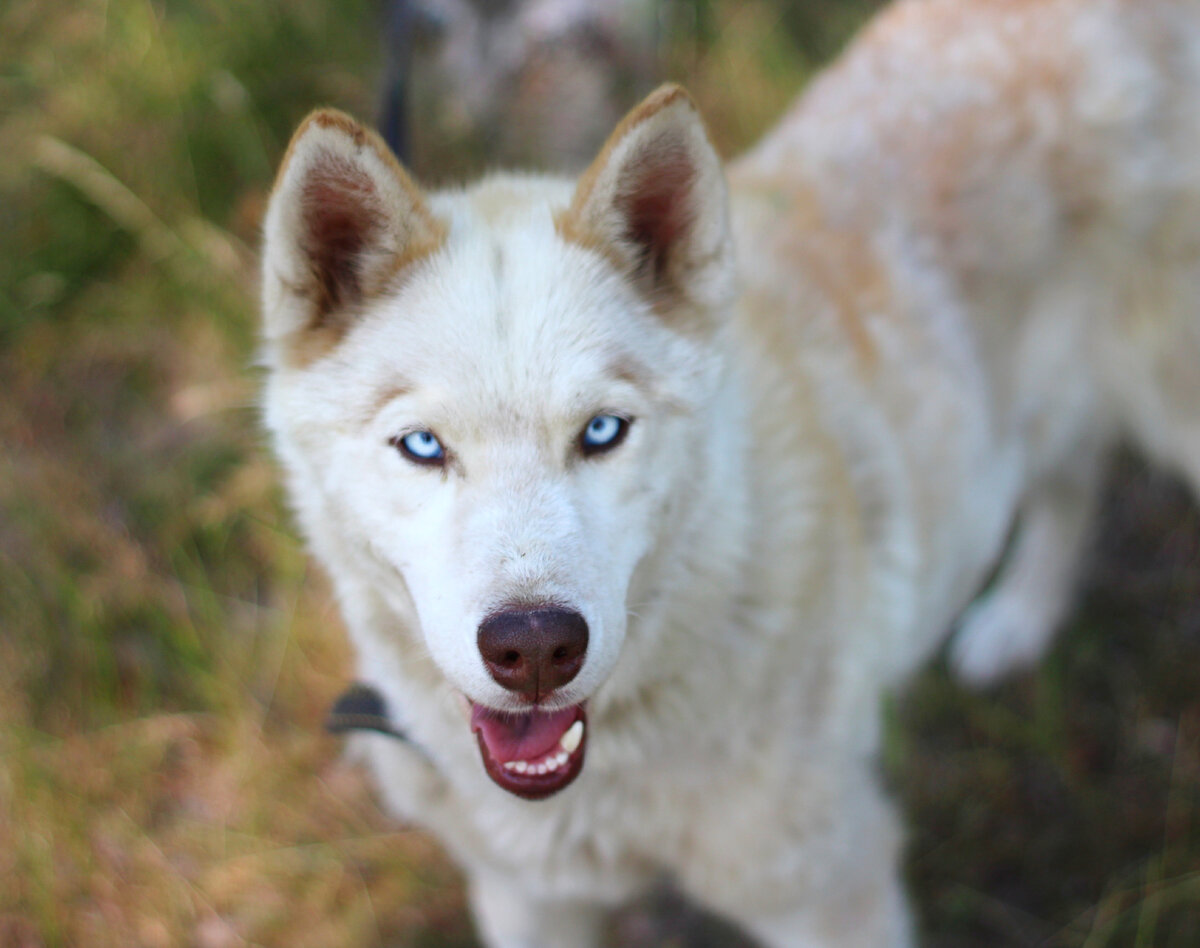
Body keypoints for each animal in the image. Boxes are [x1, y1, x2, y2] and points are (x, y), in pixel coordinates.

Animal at [260, 0, 1200, 945]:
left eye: (602, 431)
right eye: (423, 446)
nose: (533, 649)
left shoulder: (831, 895)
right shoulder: (529, 897)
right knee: (1075, 479)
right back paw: (1019, 621)